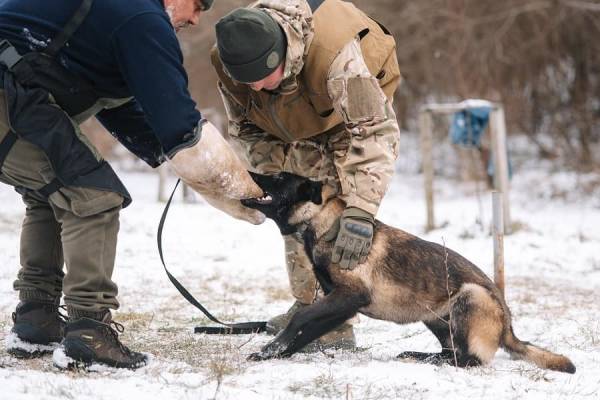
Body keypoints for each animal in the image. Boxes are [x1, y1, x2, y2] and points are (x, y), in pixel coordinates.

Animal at [240, 172, 576, 376]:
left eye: (279, 177)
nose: (250, 172)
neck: (323, 222)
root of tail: (508, 326)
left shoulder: (348, 295)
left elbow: (300, 318)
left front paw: (269, 349)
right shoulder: (341, 304)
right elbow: (307, 329)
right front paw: (278, 355)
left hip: (470, 296)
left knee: (469, 359)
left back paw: (423, 357)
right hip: (434, 316)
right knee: (451, 350)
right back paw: (420, 355)